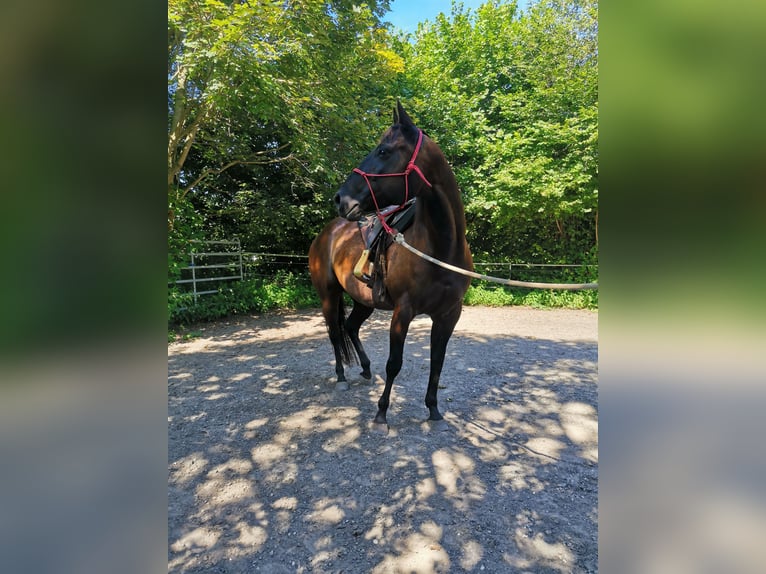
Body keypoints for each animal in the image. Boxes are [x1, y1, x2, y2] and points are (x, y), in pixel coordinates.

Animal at [308, 102, 474, 428]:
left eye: (384, 151)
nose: (340, 199)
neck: (442, 248)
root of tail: (326, 233)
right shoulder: (403, 311)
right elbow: (394, 363)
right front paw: (382, 412)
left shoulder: (449, 314)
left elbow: (437, 362)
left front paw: (433, 409)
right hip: (329, 295)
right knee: (334, 332)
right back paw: (342, 377)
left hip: (364, 300)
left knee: (350, 326)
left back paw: (365, 368)